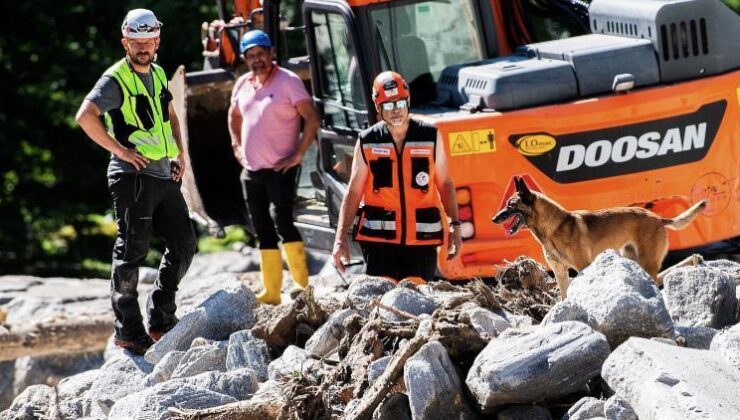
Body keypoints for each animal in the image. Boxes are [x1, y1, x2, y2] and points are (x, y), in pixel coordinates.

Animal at [494, 177, 708, 298]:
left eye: (511, 205)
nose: (494, 218)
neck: (553, 228)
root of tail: (658, 219)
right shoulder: (560, 272)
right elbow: (564, 296)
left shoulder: (583, 267)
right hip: (633, 259)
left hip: (648, 261)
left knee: (657, 279)